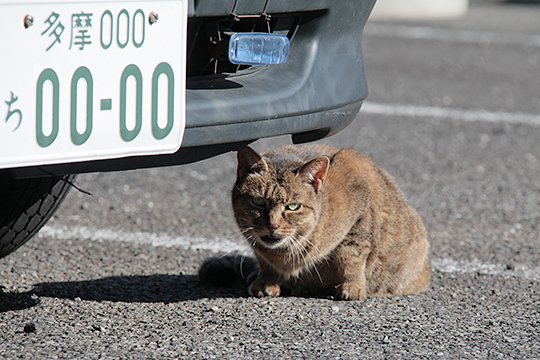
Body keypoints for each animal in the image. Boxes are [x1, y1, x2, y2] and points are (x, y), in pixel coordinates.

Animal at [198, 145, 430, 300]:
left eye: (293, 206)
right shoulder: (261, 251)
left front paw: (352, 286)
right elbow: (265, 262)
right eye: (258, 201)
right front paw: (266, 281)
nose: (272, 225)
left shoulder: (360, 215)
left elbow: (351, 257)